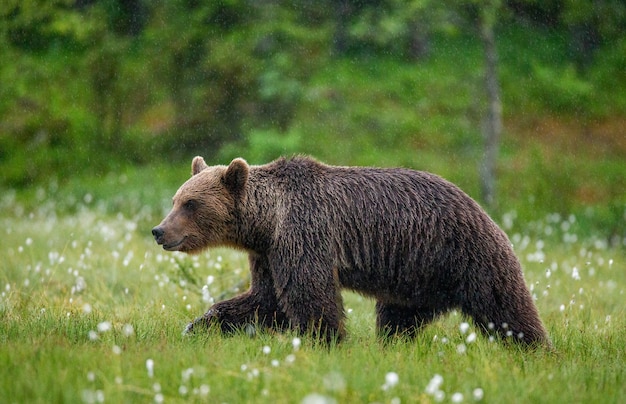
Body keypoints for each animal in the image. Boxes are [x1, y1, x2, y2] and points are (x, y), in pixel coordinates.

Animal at [154, 156, 548, 346]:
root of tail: (482, 209)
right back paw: (393, 345)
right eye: (175, 200)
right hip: (414, 276)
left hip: (464, 254)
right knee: (398, 317)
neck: (266, 222)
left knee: (504, 306)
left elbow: (310, 295)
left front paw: (325, 340)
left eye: (190, 203)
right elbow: (266, 299)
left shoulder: (304, 233)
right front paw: (199, 325)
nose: (159, 231)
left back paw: (535, 348)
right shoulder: (268, 253)